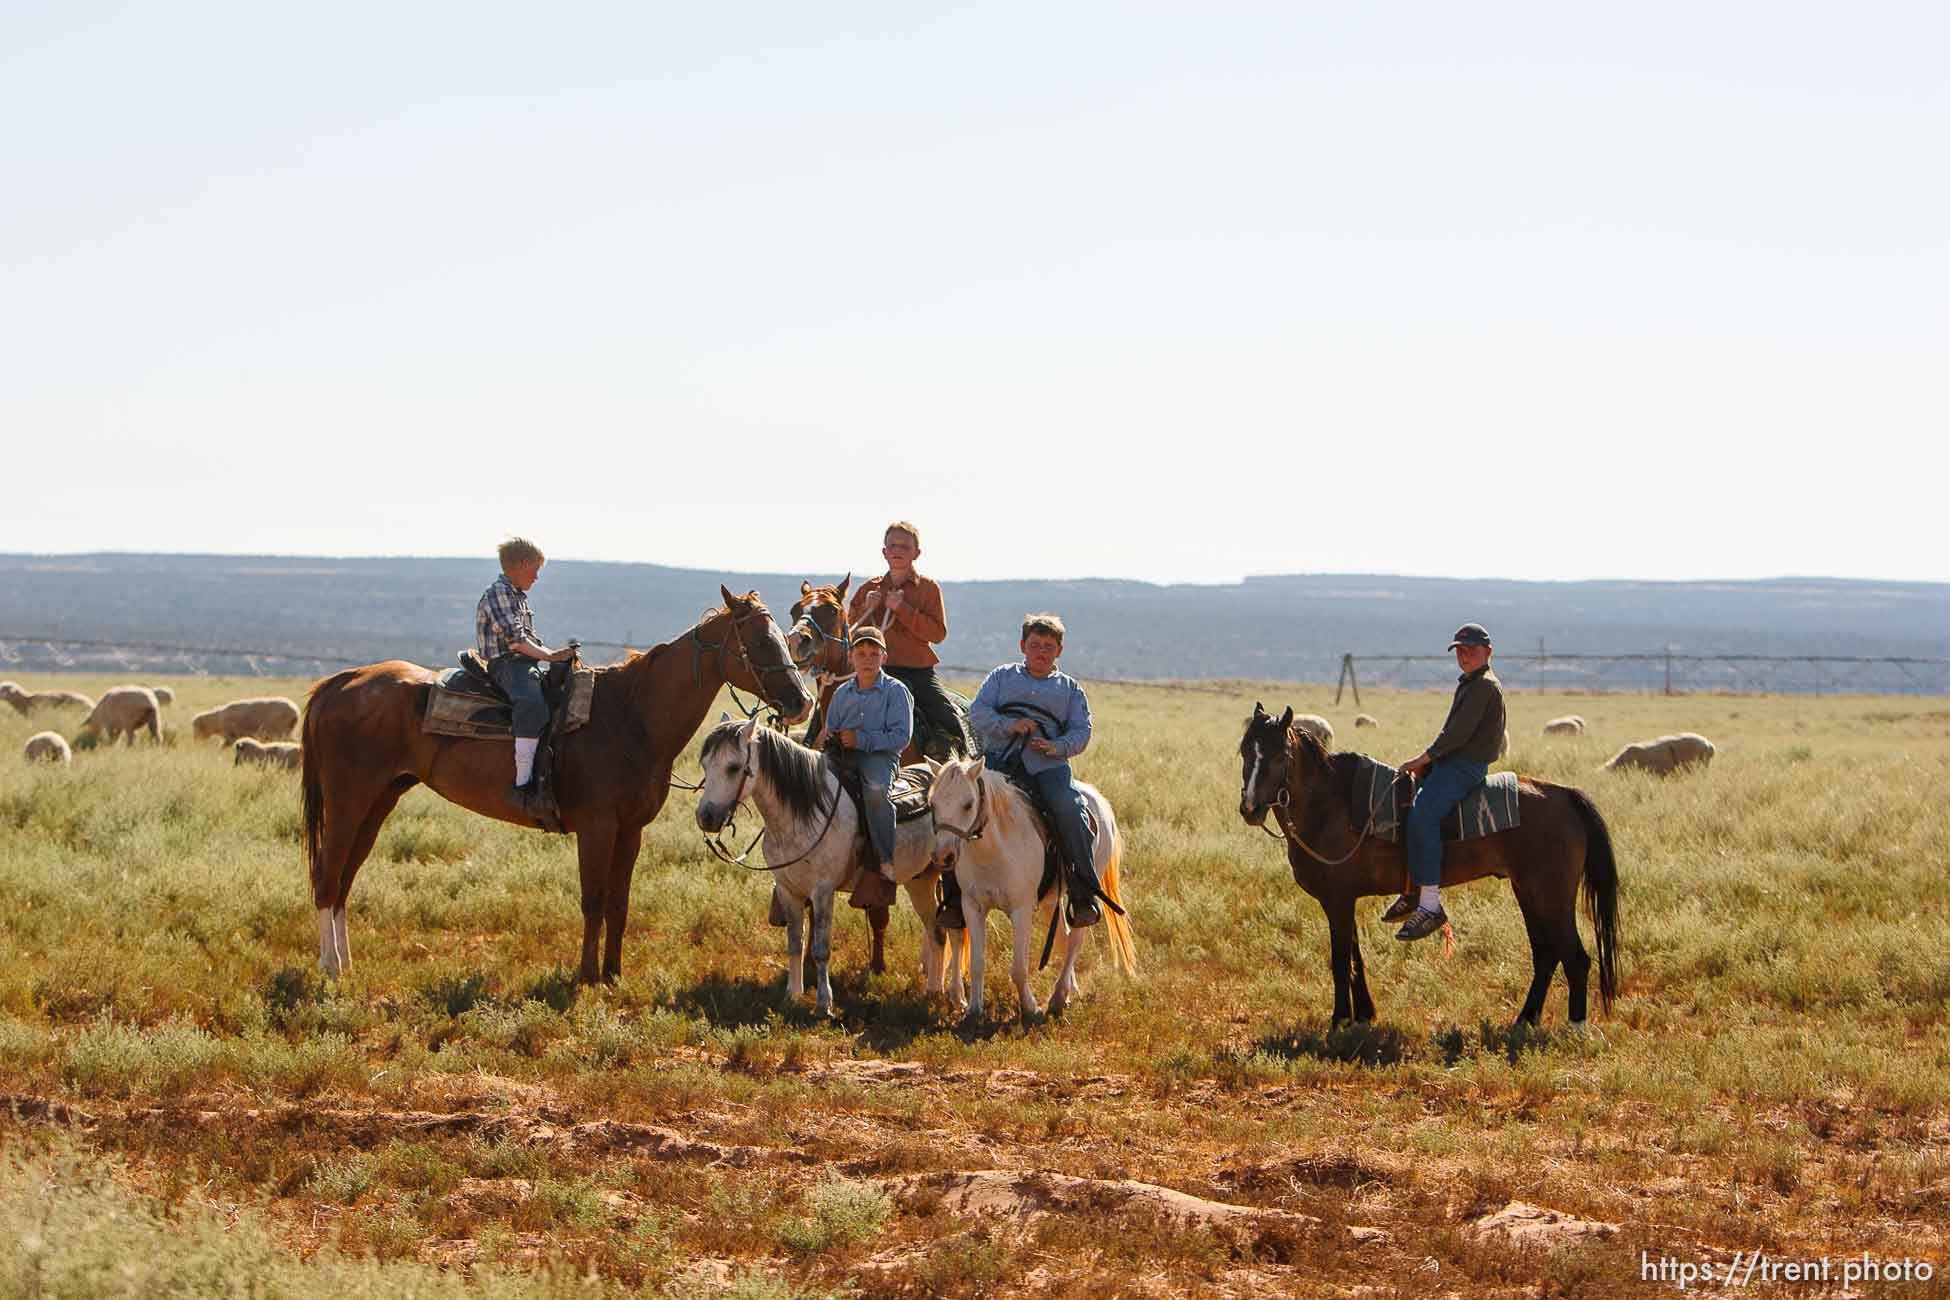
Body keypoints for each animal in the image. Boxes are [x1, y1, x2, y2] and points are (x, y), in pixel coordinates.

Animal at [300, 587, 812, 986]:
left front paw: (613, 973)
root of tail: (342, 682)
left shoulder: (630, 831)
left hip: (380, 799)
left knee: (345, 879)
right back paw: (330, 966)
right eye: (759, 642)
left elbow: (619, 904)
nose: (801, 702)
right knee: (327, 876)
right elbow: (593, 900)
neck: (630, 717)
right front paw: (586, 975)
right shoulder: (596, 827)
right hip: (348, 800)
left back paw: (346, 962)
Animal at [693, 716, 964, 1017]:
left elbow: (821, 949)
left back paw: (956, 996)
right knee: (937, 932)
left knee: (954, 931)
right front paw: (792, 995)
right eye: (705, 764)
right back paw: (933, 990)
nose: (706, 816)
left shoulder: (822, 892)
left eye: (733, 767)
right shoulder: (788, 891)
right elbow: (795, 943)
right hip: (920, 881)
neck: (805, 812)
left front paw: (824, 1004)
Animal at [927, 755, 1137, 1024]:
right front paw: (973, 1010)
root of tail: (1098, 799)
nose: (943, 856)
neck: (994, 850)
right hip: (1050, 901)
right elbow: (976, 963)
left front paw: (1031, 1008)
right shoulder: (972, 906)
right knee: (1064, 938)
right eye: (932, 804)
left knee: (1076, 938)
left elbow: (1018, 968)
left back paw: (1058, 997)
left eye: (968, 804)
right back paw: (1069, 990)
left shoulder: (1022, 909)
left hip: (1086, 890)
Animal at [1237, 703, 1620, 1028]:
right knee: (1545, 953)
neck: (1333, 806)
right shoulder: (1344, 901)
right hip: (1529, 892)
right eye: (1245, 751)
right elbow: (1355, 959)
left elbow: (1341, 961)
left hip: (1551, 896)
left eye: (1280, 755)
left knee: (1574, 957)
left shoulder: (1337, 900)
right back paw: (1525, 1020)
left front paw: (1340, 1020)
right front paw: (1364, 1015)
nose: (1250, 808)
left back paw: (1575, 1027)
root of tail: (1564, 794)